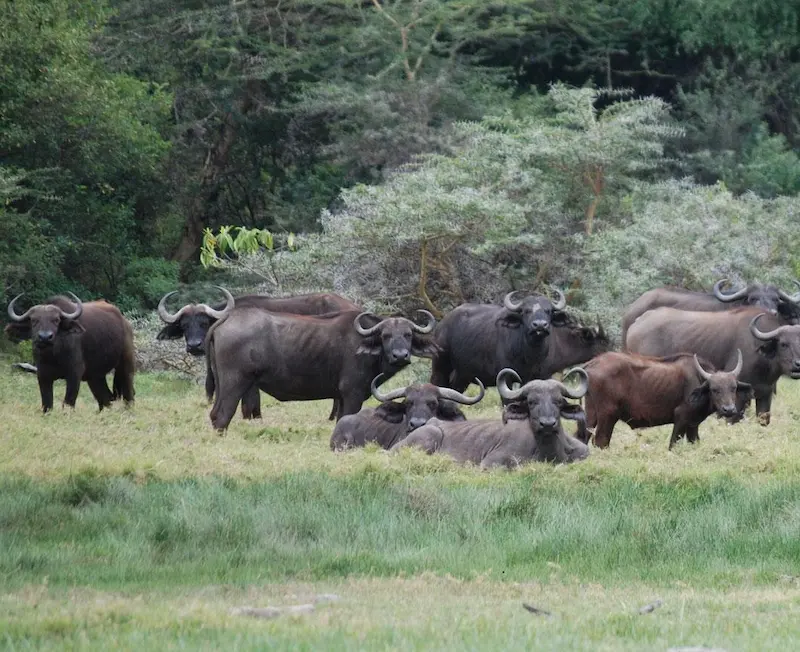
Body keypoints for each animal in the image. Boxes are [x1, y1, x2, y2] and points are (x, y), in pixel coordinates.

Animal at [6, 293, 135, 412]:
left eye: (56, 320)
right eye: (34, 320)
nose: (45, 337)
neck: (53, 356)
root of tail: (126, 323)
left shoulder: (74, 374)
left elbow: (68, 402)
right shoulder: (42, 375)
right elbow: (47, 404)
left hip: (125, 365)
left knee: (128, 393)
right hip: (95, 376)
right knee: (105, 397)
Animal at [207, 308, 438, 431]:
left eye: (408, 334)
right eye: (385, 336)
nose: (400, 355)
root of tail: (225, 319)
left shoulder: (342, 398)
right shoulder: (352, 394)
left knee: (213, 414)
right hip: (235, 384)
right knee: (222, 416)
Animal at [392, 368, 590, 467]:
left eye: (558, 401)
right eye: (531, 401)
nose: (547, 423)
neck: (549, 451)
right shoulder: (490, 463)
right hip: (430, 433)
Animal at [431, 290, 609, 390]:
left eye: (548, 311)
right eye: (526, 311)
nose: (540, 325)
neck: (530, 355)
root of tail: (442, 325)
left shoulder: (541, 377)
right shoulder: (506, 378)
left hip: (462, 376)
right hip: (440, 367)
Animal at [582, 350, 752, 450]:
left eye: (733, 388)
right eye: (714, 389)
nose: (729, 409)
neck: (697, 380)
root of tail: (593, 363)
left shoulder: (693, 425)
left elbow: (695, 443)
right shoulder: (680, 419)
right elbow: (673, 444)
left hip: (590, 415)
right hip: (608, 415)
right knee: (600, 441)